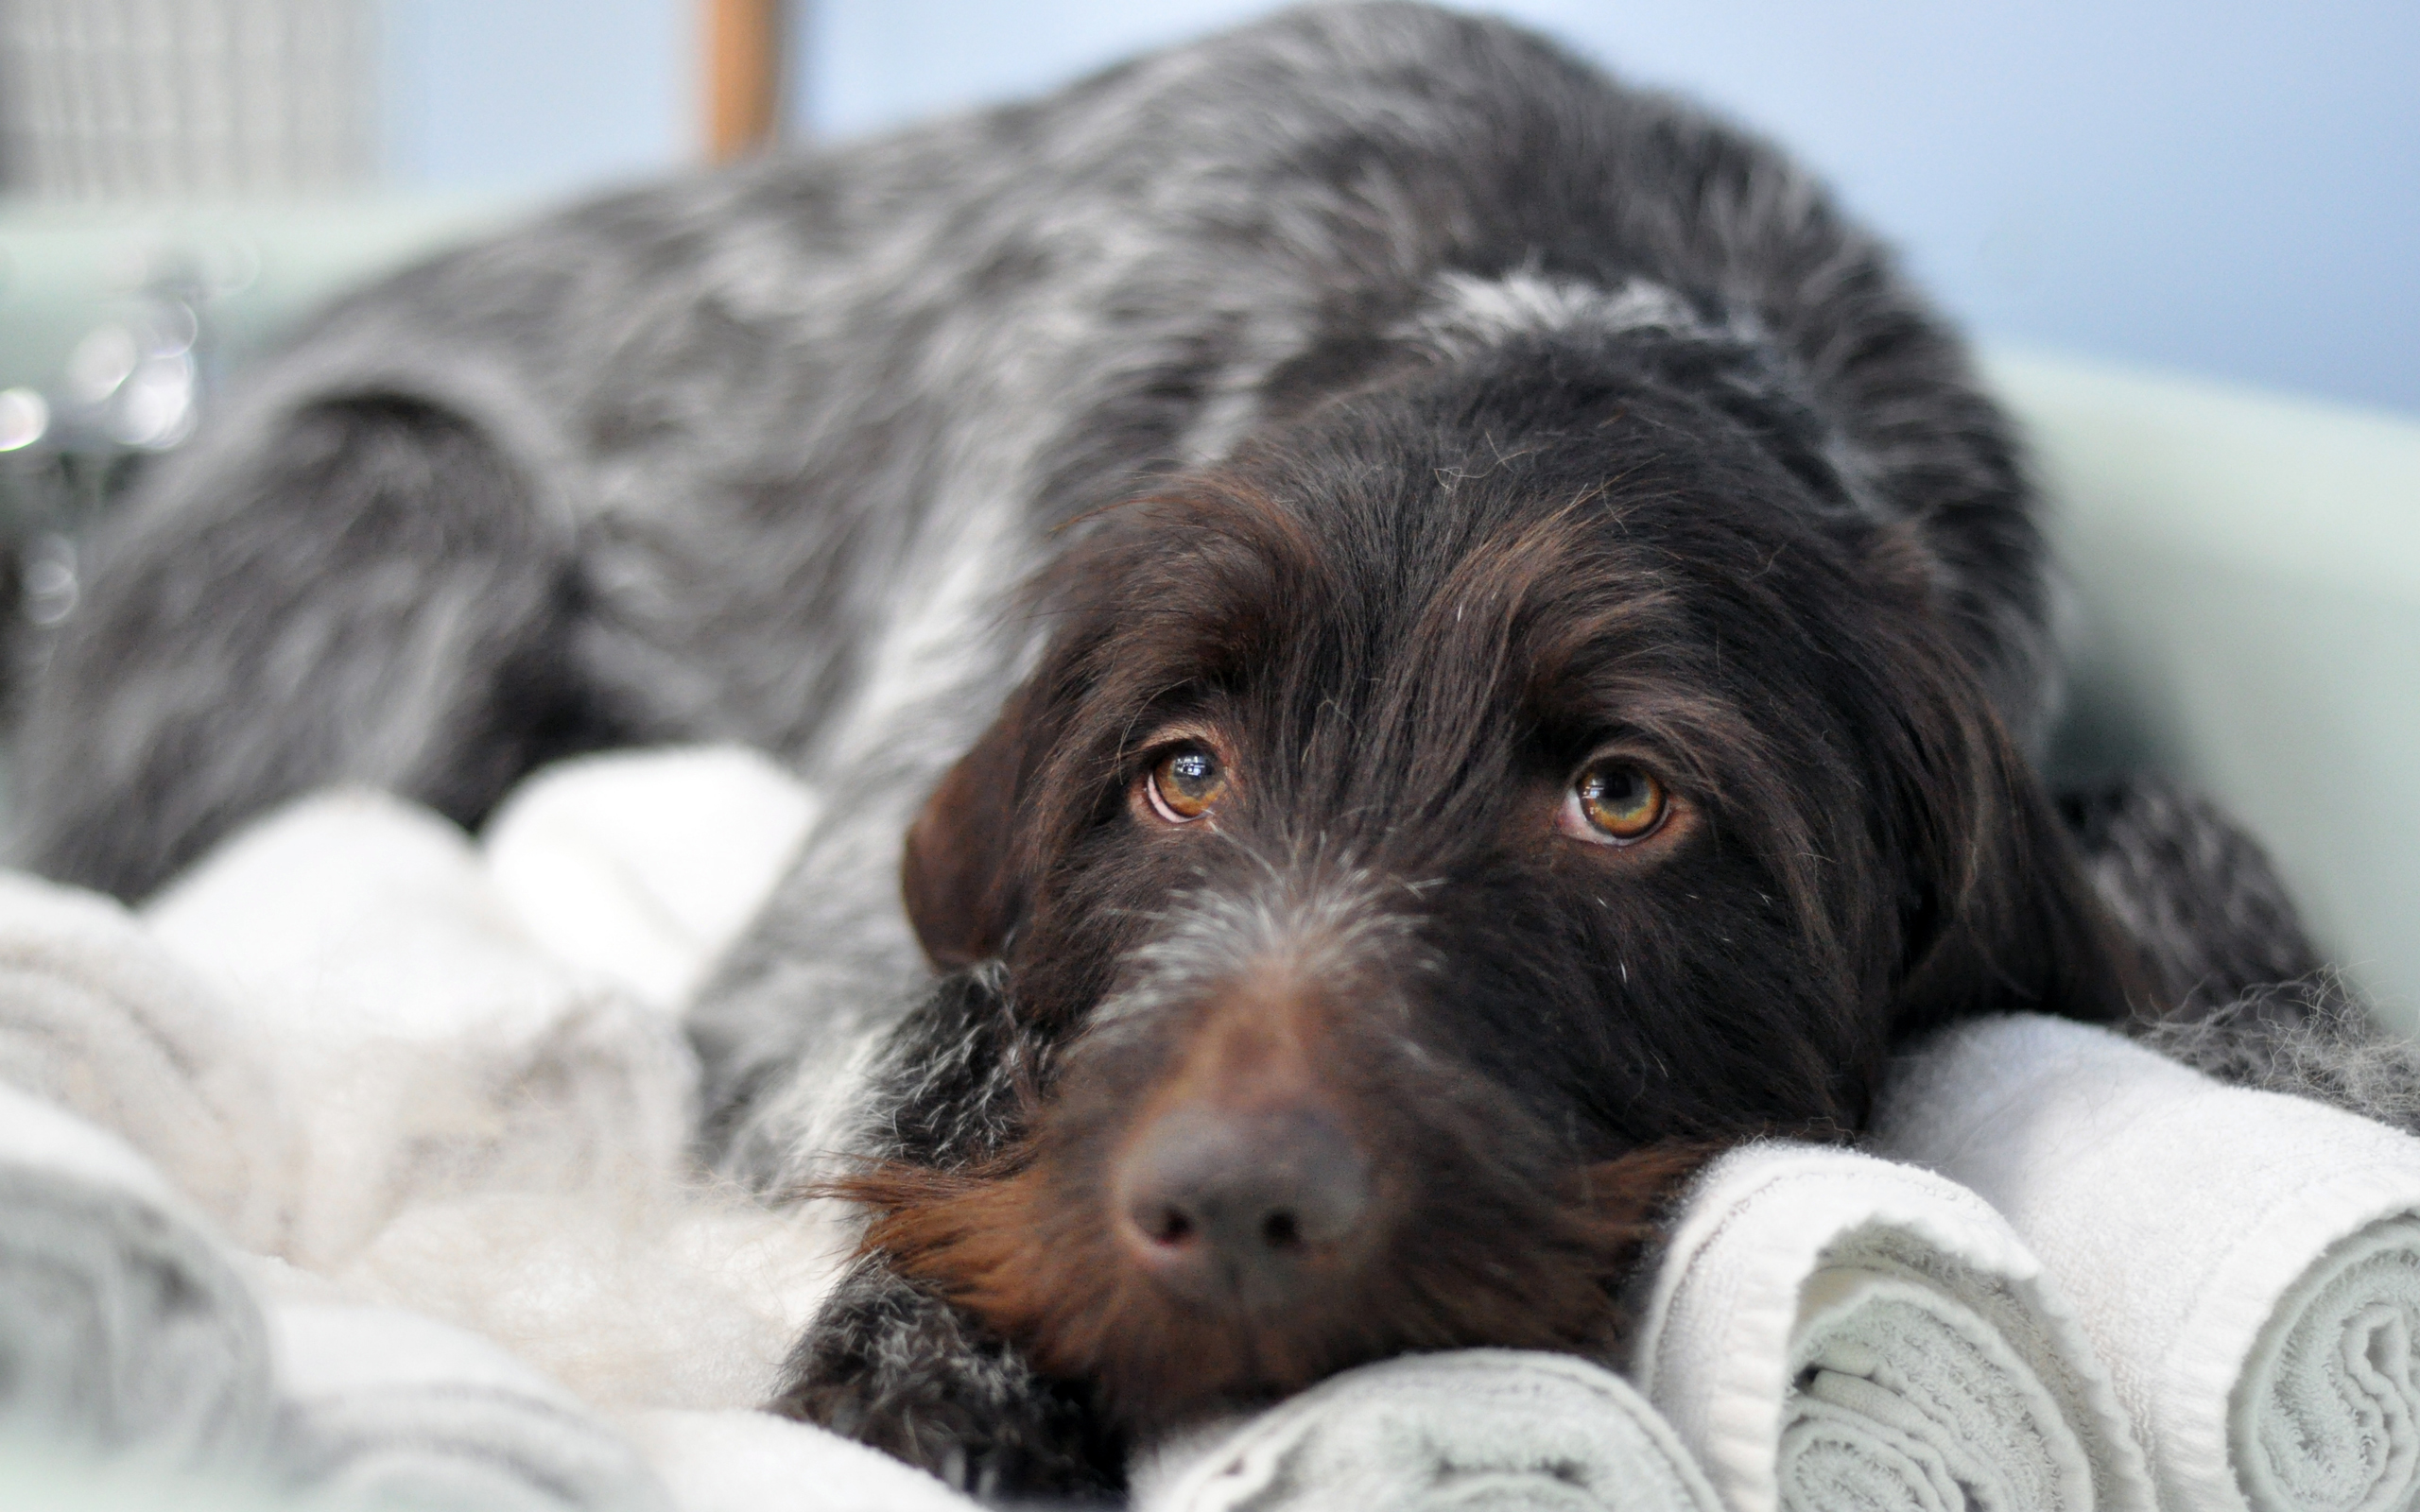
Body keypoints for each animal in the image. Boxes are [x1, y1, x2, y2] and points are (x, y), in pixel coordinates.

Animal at [9, 3, 2245, 1500]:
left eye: (1624, 799)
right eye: (1180, 770)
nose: (1241, 1208)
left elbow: (2171, 840)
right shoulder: (790, 989)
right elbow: (932, 1042)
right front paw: (950, 1362)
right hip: (410, 503)